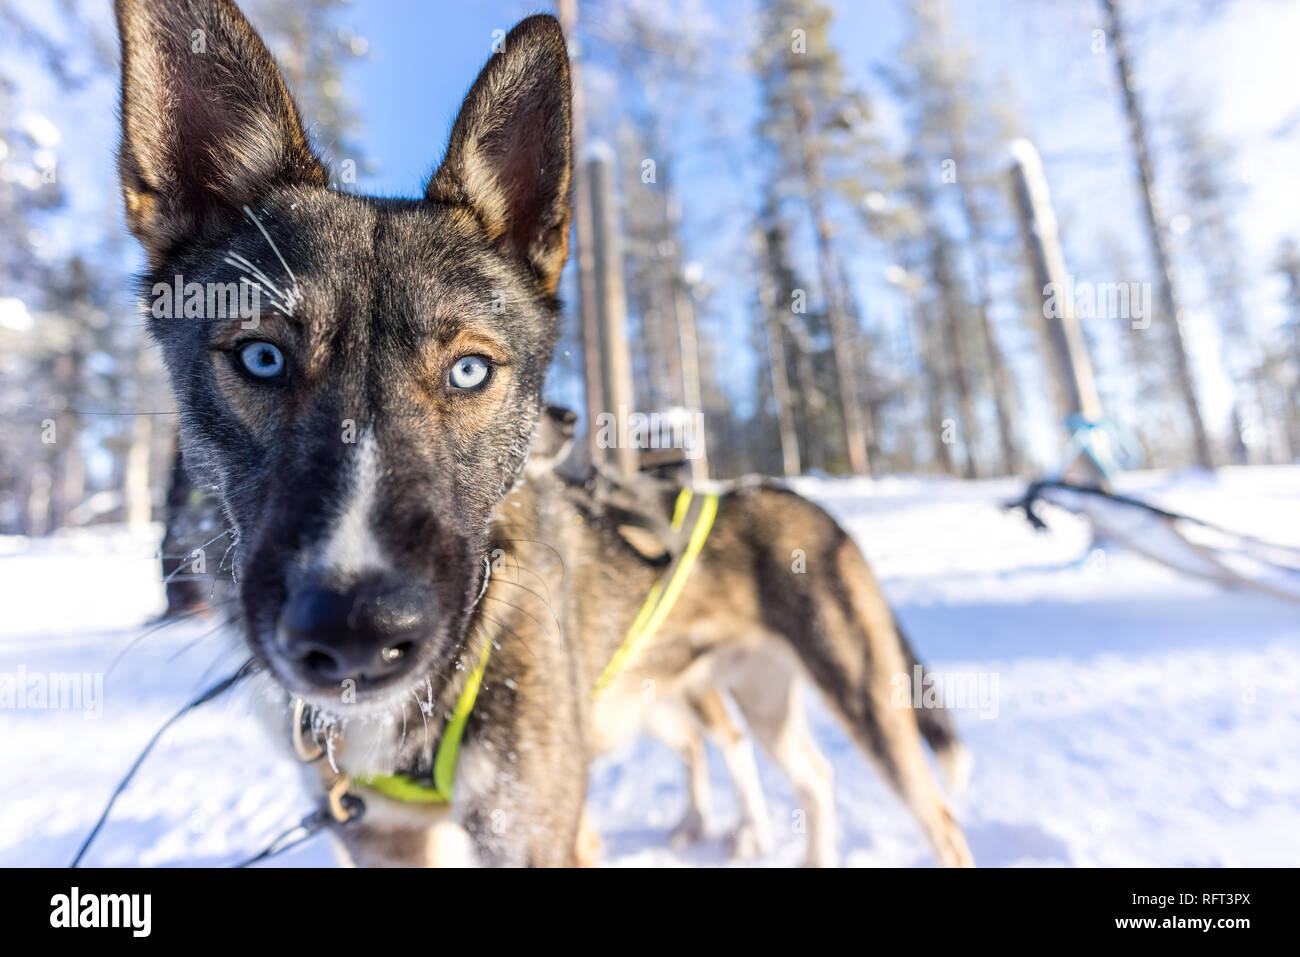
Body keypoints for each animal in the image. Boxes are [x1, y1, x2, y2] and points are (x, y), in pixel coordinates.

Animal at [116, 0, 972, 868]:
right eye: (262, 357)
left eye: (469, 370)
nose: (357, 630)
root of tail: (797, 502)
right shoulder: (386, 837)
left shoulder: (538, 828)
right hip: (752, 696)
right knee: (812, 779)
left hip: (861, 701)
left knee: (938, 816)